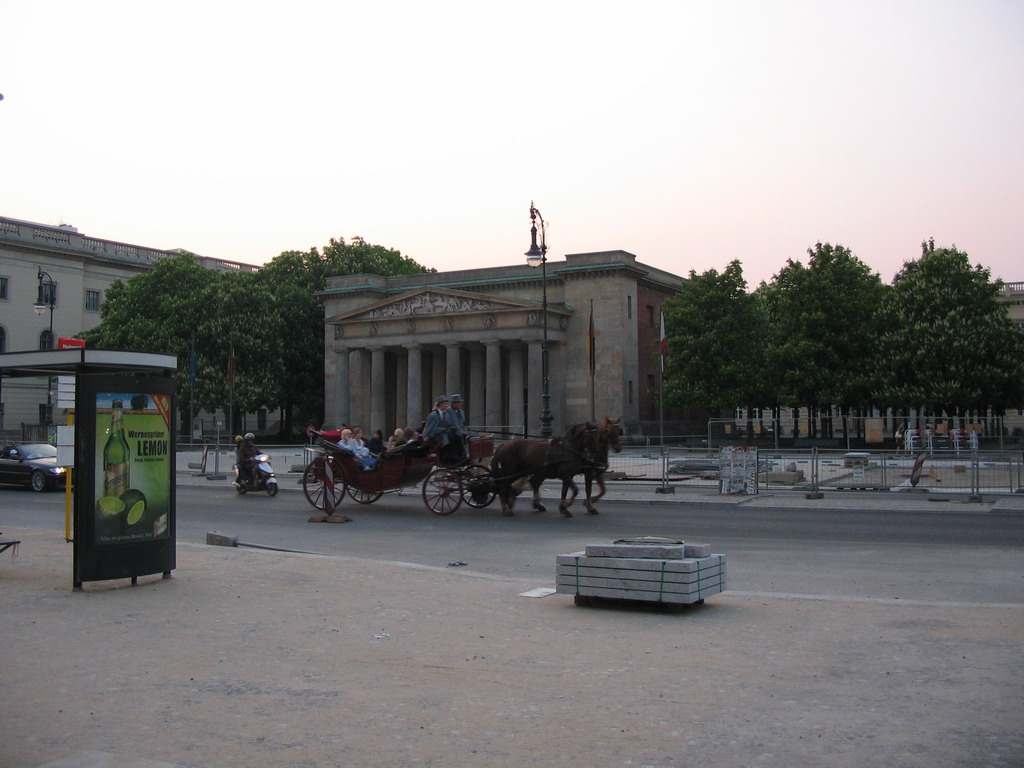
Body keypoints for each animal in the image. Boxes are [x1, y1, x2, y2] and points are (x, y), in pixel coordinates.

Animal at [489, 417, 622, 520]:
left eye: (620, 431)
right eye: (608, 431)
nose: (618, 448)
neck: (569, 448)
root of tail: (503, 445)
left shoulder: (575, 474)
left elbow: (572, 491)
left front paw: (567, 507)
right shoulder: (567, 474)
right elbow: (576, 490)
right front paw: (566, 506)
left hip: (526, 472)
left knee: (528, 484)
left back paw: (521, 503)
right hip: (511, 472)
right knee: (503, 487)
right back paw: (506, 508)